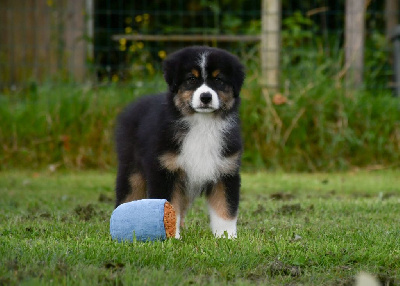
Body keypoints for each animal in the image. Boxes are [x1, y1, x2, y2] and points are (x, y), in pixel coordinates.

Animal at [114, 47, 245, 239]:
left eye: (218, 80)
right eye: (191, 79)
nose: (206, 97)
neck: (202, 124)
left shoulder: (226, 170)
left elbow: (225, 208)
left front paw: (227, 237)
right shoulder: (165, 170)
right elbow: (169, 207)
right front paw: (172, 237)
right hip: (132, 169)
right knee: (128, 195)